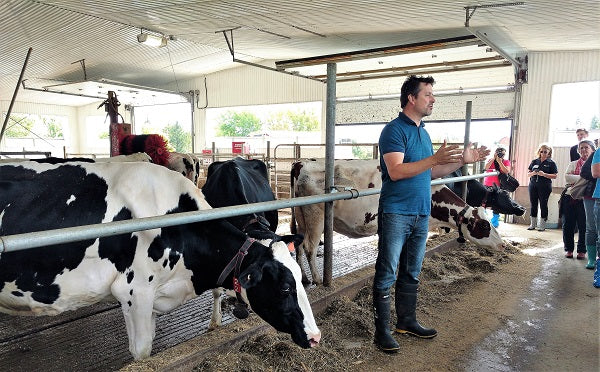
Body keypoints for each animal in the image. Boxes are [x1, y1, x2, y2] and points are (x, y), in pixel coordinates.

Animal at [290, 159, 506, 284]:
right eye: (484, 225)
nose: (502, 244)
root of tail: (302, 164)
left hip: (301, 216)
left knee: (298, 243)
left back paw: (303, 278)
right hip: (315, 215)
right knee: (309, 246)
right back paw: (317, 279)